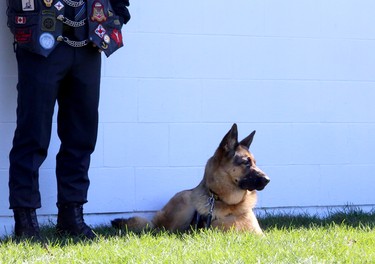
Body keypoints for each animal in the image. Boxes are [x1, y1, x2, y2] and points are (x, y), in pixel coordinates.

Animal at [111, 125, 270, 234]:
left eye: (255, 162)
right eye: (246, 162)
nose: (268, 180)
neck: (230, 205)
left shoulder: (259, 236)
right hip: (185, 202)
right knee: (165, 230)